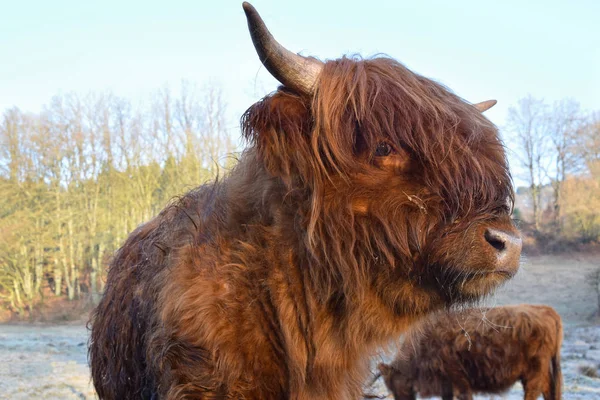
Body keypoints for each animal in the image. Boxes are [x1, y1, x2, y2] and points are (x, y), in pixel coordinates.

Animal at [380, 304, 564, 400]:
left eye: (391, 384)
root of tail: (546, 310)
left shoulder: (457, 378)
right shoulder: (447, 383)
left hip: (534, 372)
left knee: (535, 391)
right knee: (550, 390)